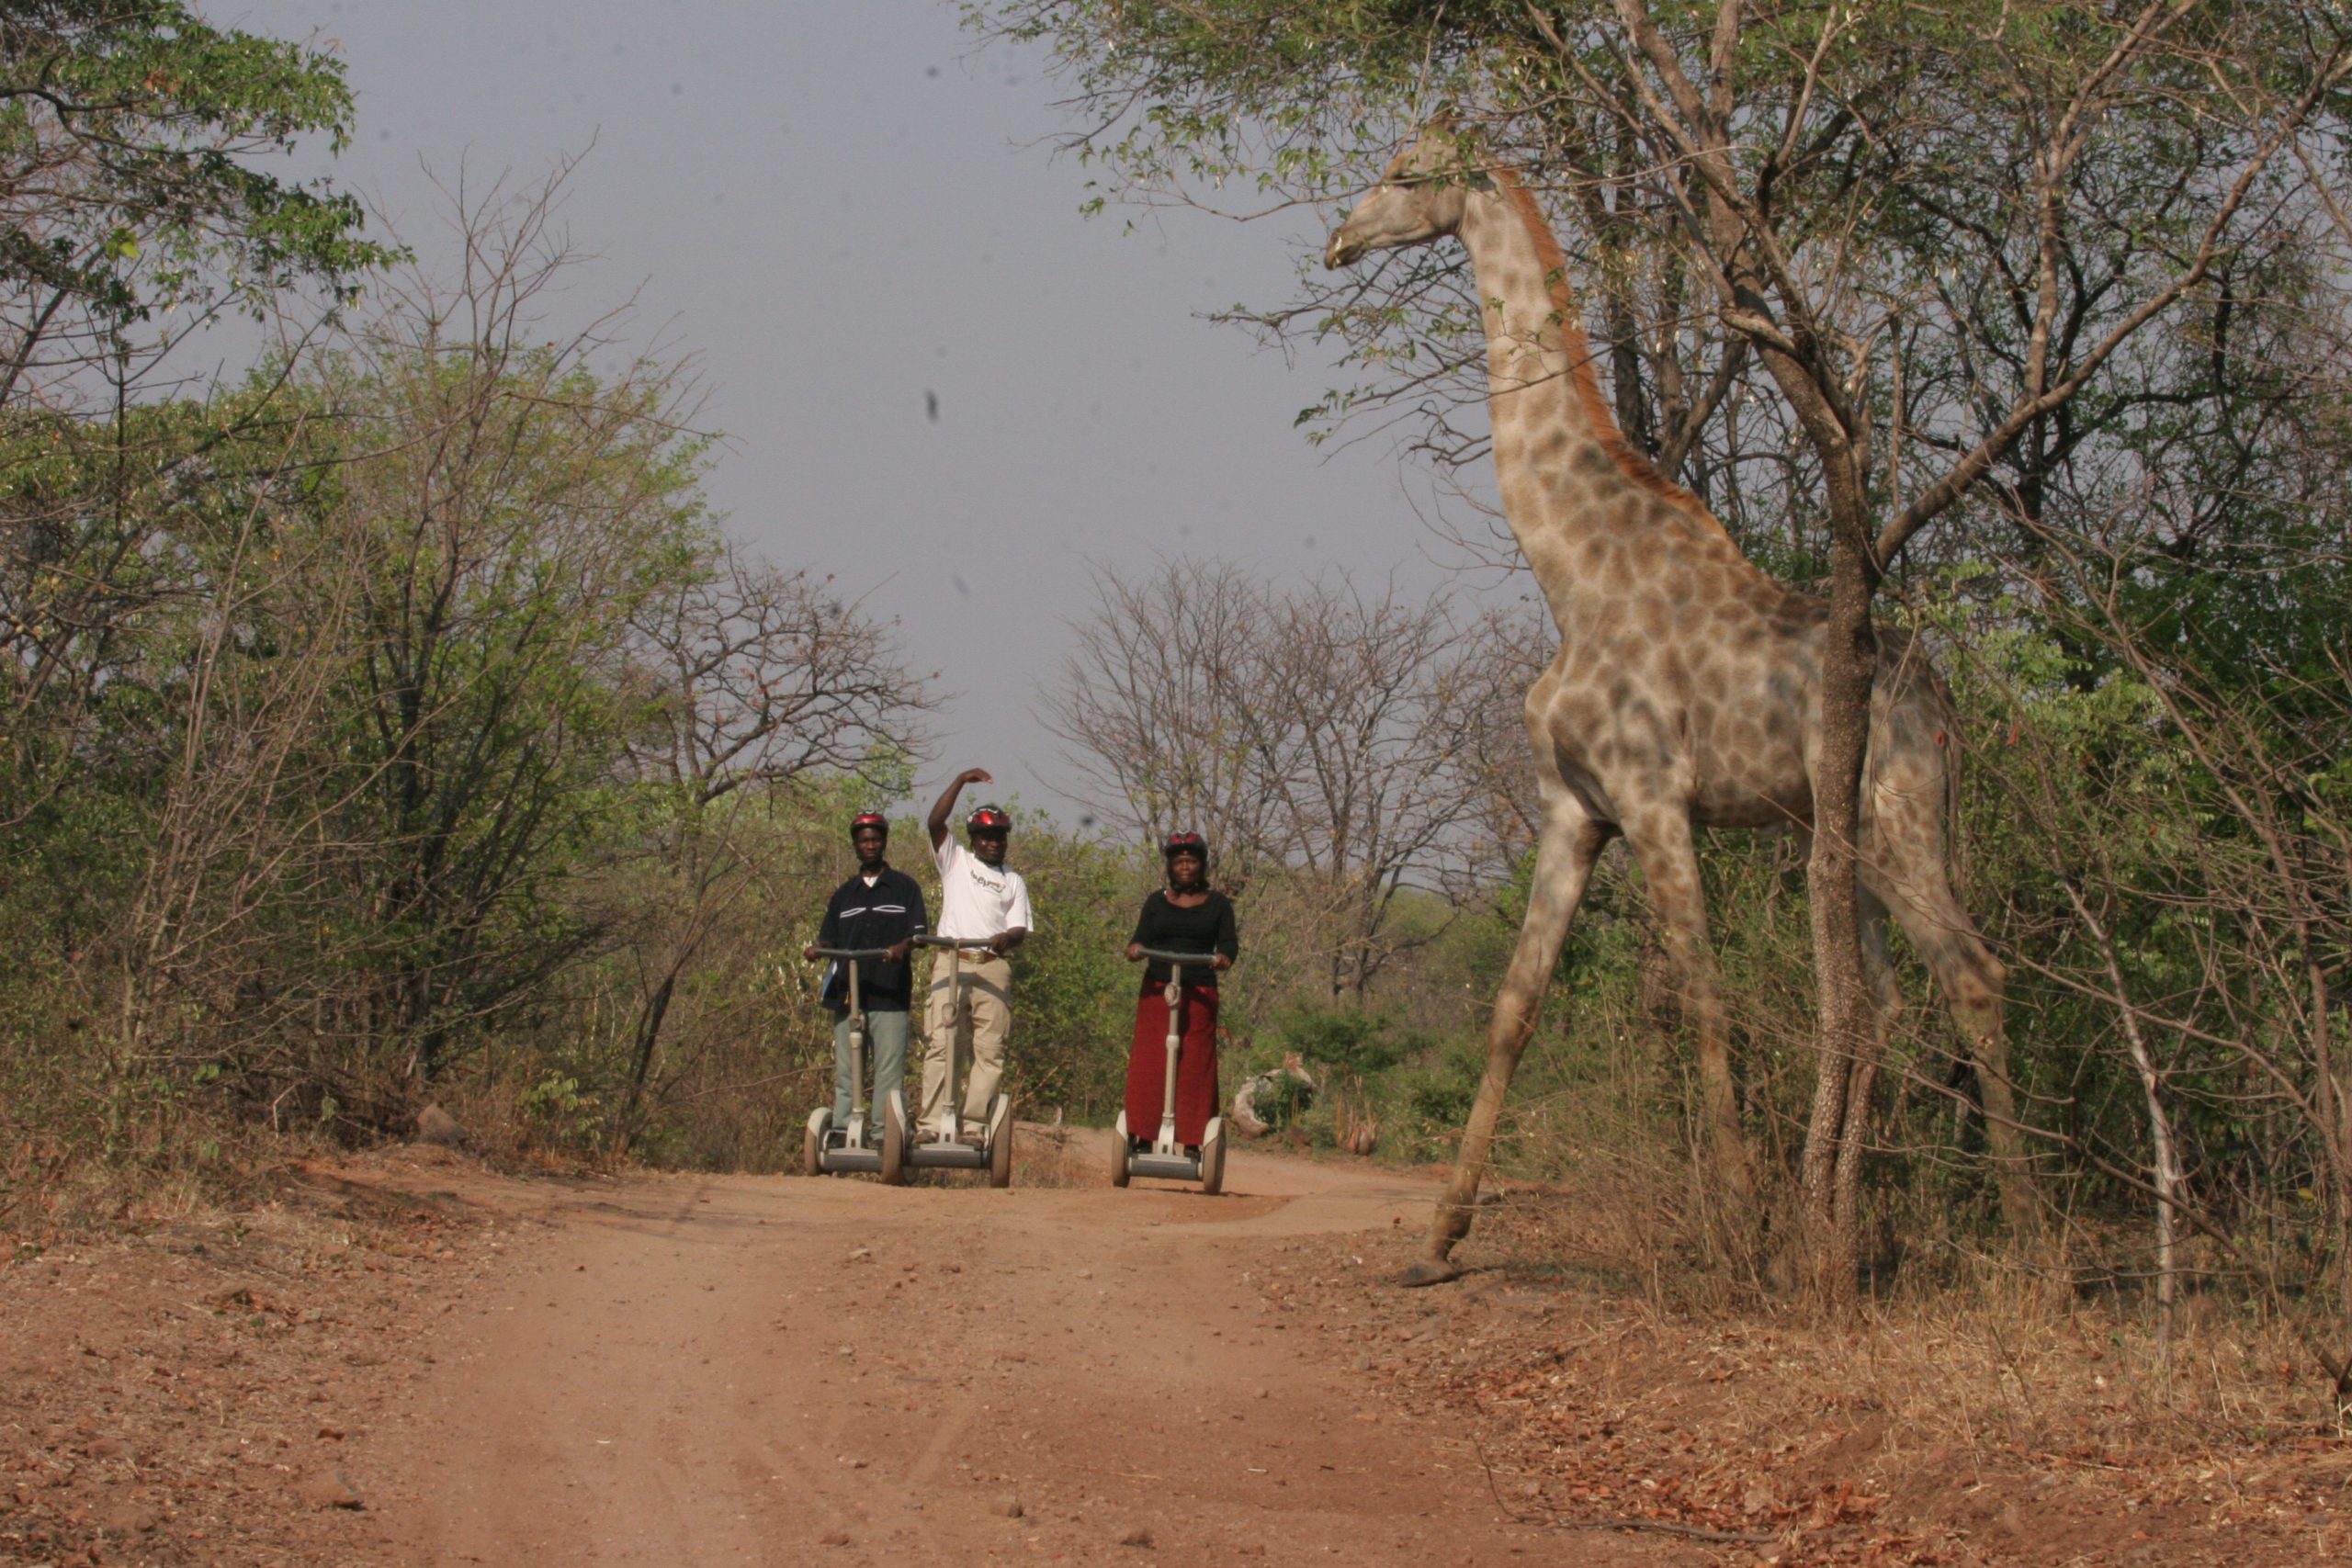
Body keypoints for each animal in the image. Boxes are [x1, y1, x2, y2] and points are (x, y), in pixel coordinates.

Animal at [1325, 121, 2031, 1286]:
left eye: (1404, 172)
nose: (1339, 240)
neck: (1571, 573)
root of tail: (1946, 709)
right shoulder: (1576, 807)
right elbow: (1514, 1007)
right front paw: (1438, 1239)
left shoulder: (1655, 797)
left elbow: (1704, 994)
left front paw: (1740, 1227)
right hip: (1843, 835)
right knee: (1875, 1000)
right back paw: (1840, 1225)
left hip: (1896, 815)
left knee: (1971, 971)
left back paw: (2021, 1230)